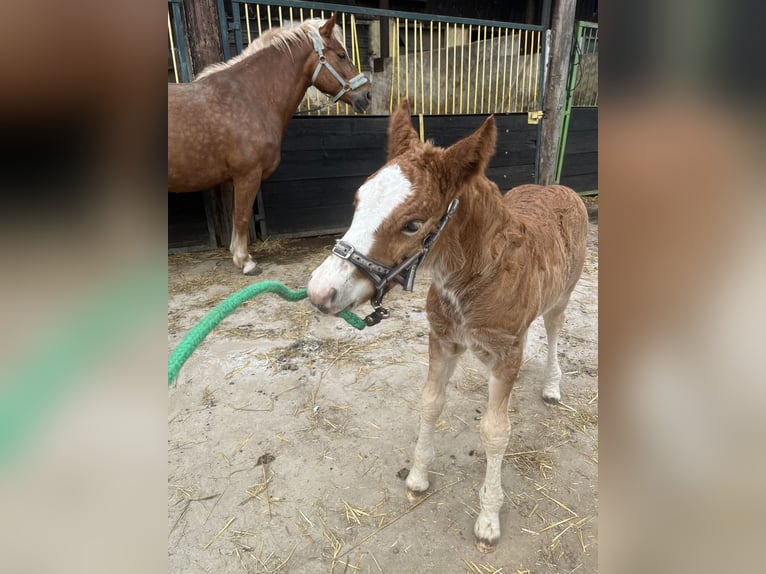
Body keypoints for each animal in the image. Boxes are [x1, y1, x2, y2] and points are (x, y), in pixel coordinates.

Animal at [169, 13, 372, 274]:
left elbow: (236, 215)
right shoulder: (247, 175)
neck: (250, 96)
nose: (366, 95)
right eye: (341, 55)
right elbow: (242, 216)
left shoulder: (236, 178)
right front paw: (245, 261)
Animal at [308, 102, 592, 552]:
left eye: (412, 224)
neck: (474, 279)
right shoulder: (441, 341)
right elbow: (429, 403)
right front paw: (418, 477)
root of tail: (561, 188)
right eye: (357, 202)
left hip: (561, 297)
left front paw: (489, 519)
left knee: (552, 333)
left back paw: (551, 385)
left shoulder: (505, 355)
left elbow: (495, 431)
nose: (320, 292)